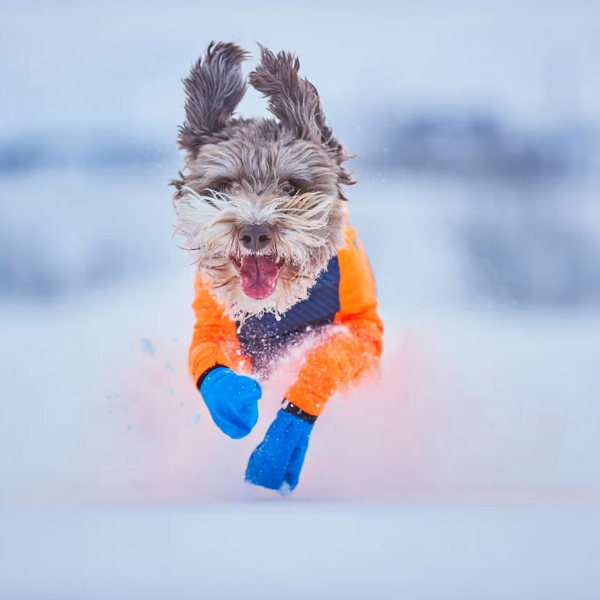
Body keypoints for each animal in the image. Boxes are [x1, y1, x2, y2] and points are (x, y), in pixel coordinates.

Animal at [171, 42, 382, 492]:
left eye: (291, 186)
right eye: (224, 186)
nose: (254, 232)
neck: (276, 307)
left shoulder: (363, 328)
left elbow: (326, 360)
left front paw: (281, 444)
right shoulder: (214, 322)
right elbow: (210, 360)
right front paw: (235, 401)